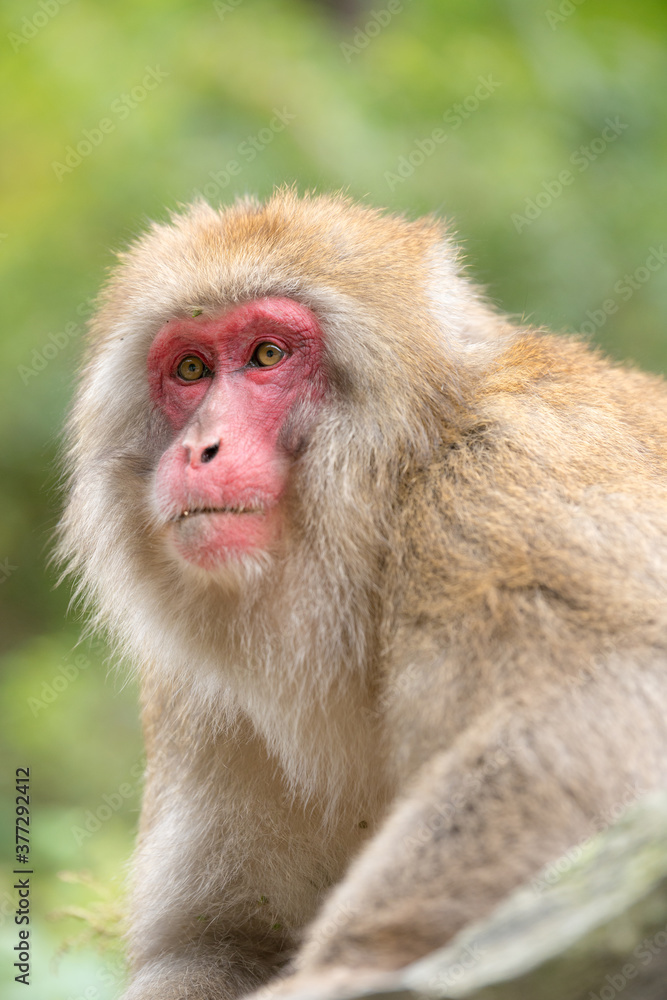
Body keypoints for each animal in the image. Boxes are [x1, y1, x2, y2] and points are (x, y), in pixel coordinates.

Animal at [57, 189, 667, 1000]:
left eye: (267, 355)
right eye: (190, 368)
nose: (198, 449)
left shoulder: (511, 483)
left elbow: (588, 710)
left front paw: (353, 964)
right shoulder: (199, 687)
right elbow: (216, 942)